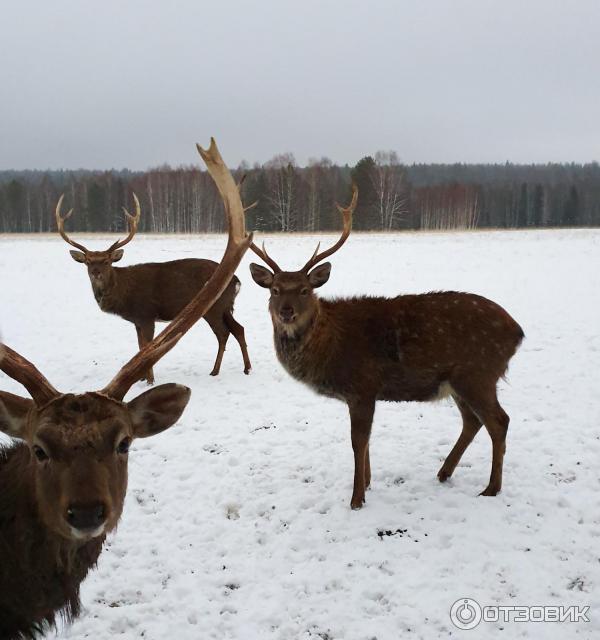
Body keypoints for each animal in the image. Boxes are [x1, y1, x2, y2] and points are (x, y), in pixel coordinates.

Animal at [56, 190, 251, 382]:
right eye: (88, 262)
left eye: (106, 261)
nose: (96, 273)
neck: (123, 295)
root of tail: (236, 280)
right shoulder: (137, 321)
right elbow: (139, 346)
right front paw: (141, 378)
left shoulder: (146, 314)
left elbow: (146, 348)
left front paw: (149, 380)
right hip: (226, 306)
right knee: (238, 329)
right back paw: (246, 368)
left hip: (214, 307)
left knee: (223, 333)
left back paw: (215, 371)